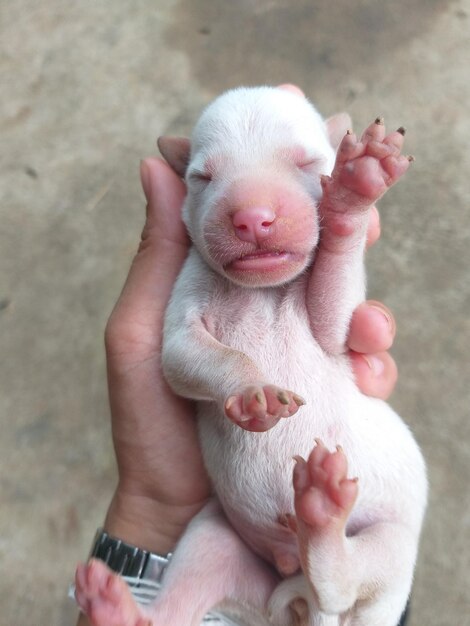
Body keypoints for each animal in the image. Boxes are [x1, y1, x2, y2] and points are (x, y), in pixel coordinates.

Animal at [75, 86, 428, 624]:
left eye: (308, 163)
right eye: (201, 177)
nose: (253, 217)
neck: (262, 290)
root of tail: (287, 580)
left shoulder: (337, 327)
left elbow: (337, 314)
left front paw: (356, 188)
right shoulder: (181, 318)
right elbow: (184, 357)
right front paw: (251, 392)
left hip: (392, 545)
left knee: (346, 584)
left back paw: (323, 514)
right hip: (215, 537)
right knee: (174, 605)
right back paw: (113, 605)